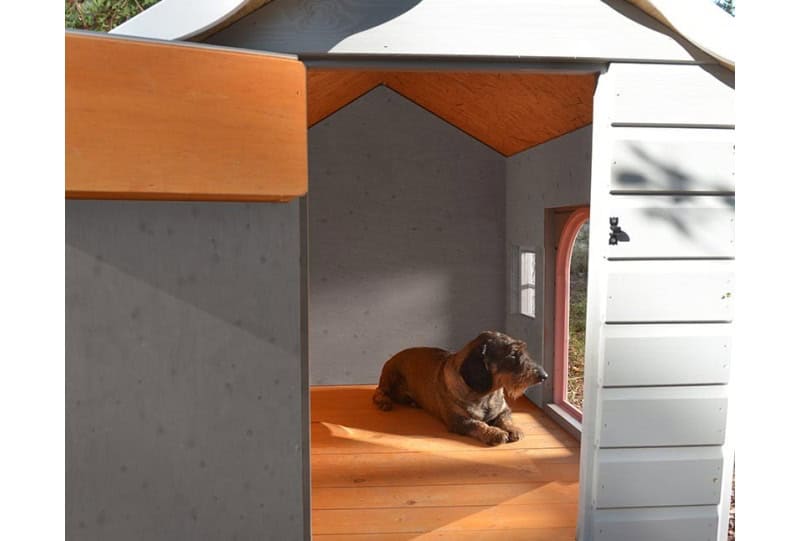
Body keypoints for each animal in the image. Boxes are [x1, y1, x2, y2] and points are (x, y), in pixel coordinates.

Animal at [374, 332, 552, 446]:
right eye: (513, 354)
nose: (544, 376)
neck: (485, 395)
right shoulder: (459, 421)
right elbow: (479, 425)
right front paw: (495, 433)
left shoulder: (504, 410)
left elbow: (505, 419)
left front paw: (513, 429)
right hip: (389, 378)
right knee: (379, 392)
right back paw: (385, 402)